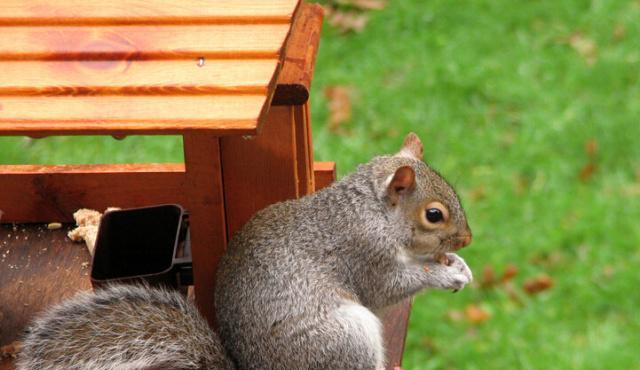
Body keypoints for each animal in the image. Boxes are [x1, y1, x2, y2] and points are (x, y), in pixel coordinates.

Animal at [16, 133, 476, 370]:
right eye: (434, 215)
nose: (467, 239)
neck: (371, 211)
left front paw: (458, 263)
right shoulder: (364, 253)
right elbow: (391, 287)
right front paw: (446, 273)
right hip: (344, 337)